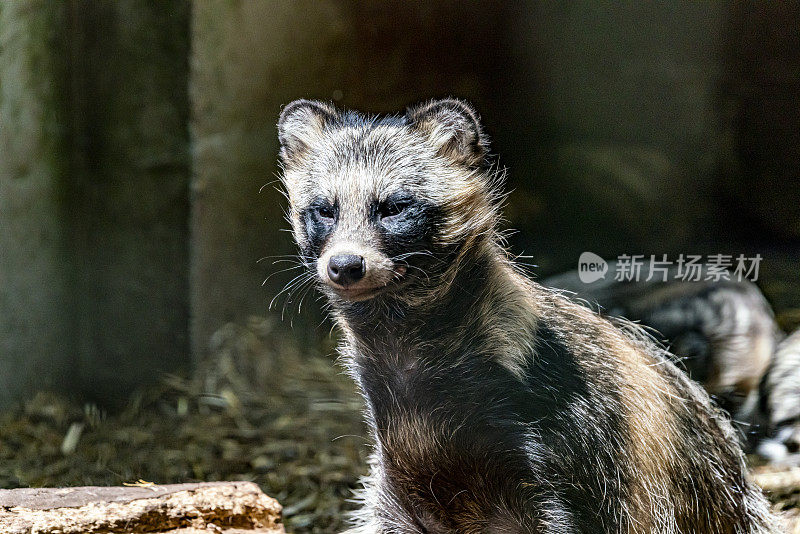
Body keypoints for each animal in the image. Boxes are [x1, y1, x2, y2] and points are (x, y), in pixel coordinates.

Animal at [278, 98, 780, 532]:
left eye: (394, 207)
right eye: (324, 210)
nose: (345, 265)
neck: (408, 350)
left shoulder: (562, 442)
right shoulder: (398, 472)